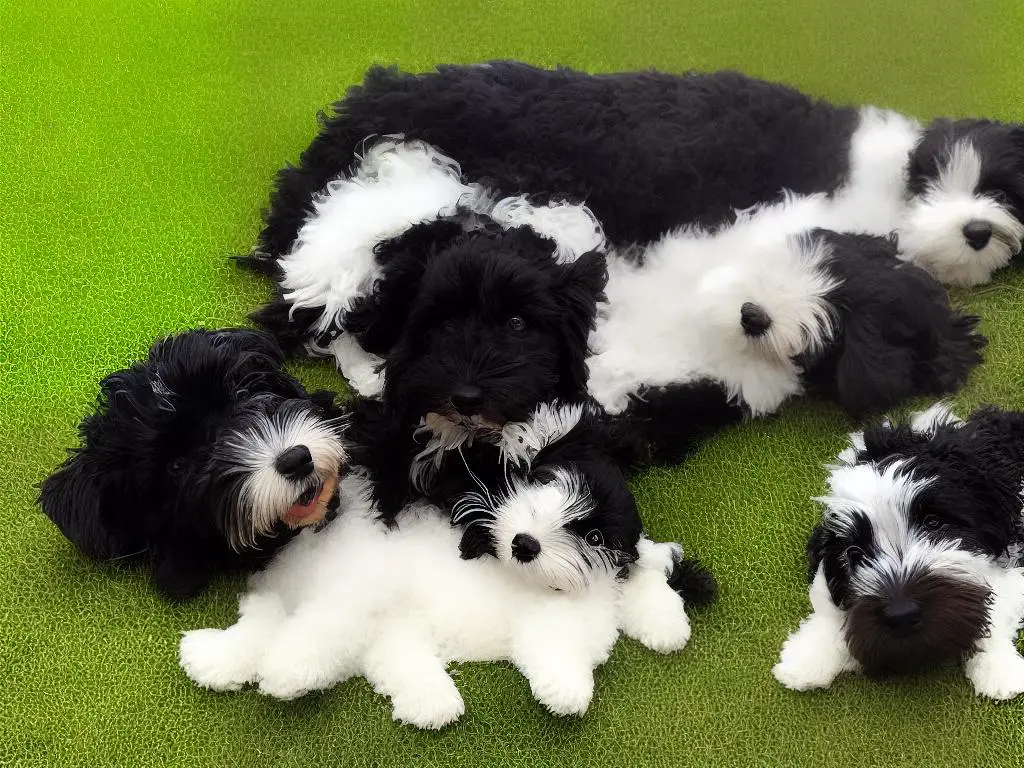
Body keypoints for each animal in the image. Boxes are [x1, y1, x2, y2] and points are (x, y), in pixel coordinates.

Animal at [770, 405, 1024, 700]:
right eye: (855, 554)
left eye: (933, 523)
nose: (902, 614)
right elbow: (827, 599)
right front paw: (808, 658)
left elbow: (999, 598)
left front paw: (998, 669)